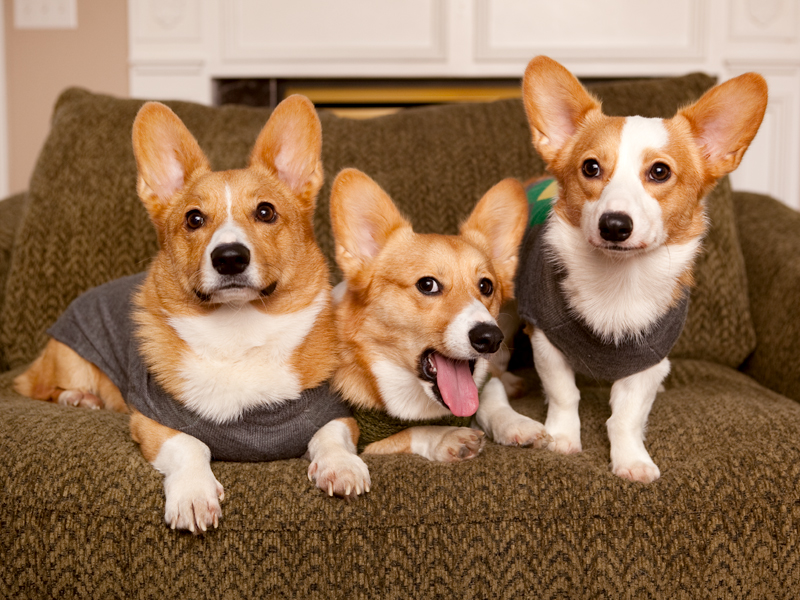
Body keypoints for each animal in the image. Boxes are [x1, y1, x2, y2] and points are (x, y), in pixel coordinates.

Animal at [14, 96, 372, 532]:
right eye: (194, 218)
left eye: (266, 212)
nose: (230, 258)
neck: (237, 333)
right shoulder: (152, 422)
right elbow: (190, 444)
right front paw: (193, 495)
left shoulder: (336, 416)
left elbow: (331, 437)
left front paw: (342, 467)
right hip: (70, 360)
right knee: (38, 386)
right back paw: (78, 398)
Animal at [328, 168, 552, 460]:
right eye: (427, 285)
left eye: (486, 286)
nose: (491, 338)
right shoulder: (369, 443)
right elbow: (414, 431)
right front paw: (448, 436)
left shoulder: (483, 387)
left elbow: (492, 399)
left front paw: (517, 424)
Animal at [512, 54, 768, 480]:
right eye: (591, 168)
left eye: (660, 172)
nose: (614, 225)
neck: (618, 280)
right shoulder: (545, 340)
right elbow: (565, 394)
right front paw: (562, 439)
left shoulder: (649, 361)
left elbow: (627, 416)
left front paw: (631, 460)